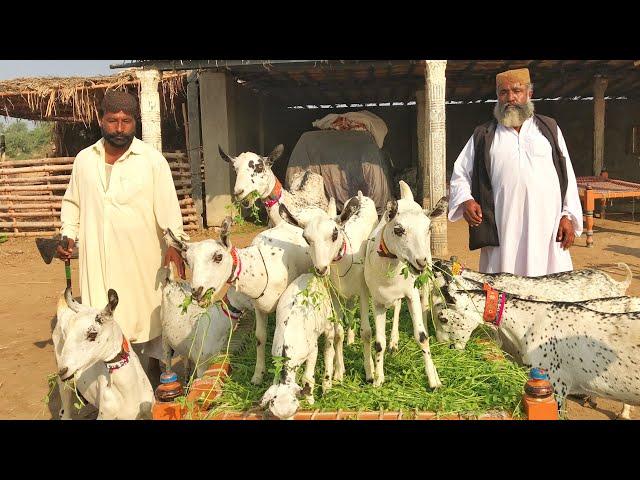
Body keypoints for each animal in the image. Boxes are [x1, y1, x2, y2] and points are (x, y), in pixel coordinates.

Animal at [168, 218, 312, 386]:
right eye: (186, 261)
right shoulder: (259, 308)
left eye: (218, 257)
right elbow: (260, 337)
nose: (198, 293)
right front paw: (258, 375)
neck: (260, 270)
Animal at [258, 272, 344, 418]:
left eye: (296, 409)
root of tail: (310, 274)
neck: (287, 348)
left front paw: (310, 401)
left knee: (329, 349)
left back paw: (327, 383)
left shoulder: (312, 351)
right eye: (274, 414)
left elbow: (308, 379)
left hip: (327, 319)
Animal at [362, 182, 448, 388]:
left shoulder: (411, 293)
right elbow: (379, 343)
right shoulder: (377, 301)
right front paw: (378, 379)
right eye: (398, 229)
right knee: (397, 307)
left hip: (424, 281)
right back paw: (394, 342)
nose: (420, 261)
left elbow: (422, 337)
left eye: (429, 228)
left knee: (424, 306)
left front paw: (433, 380)